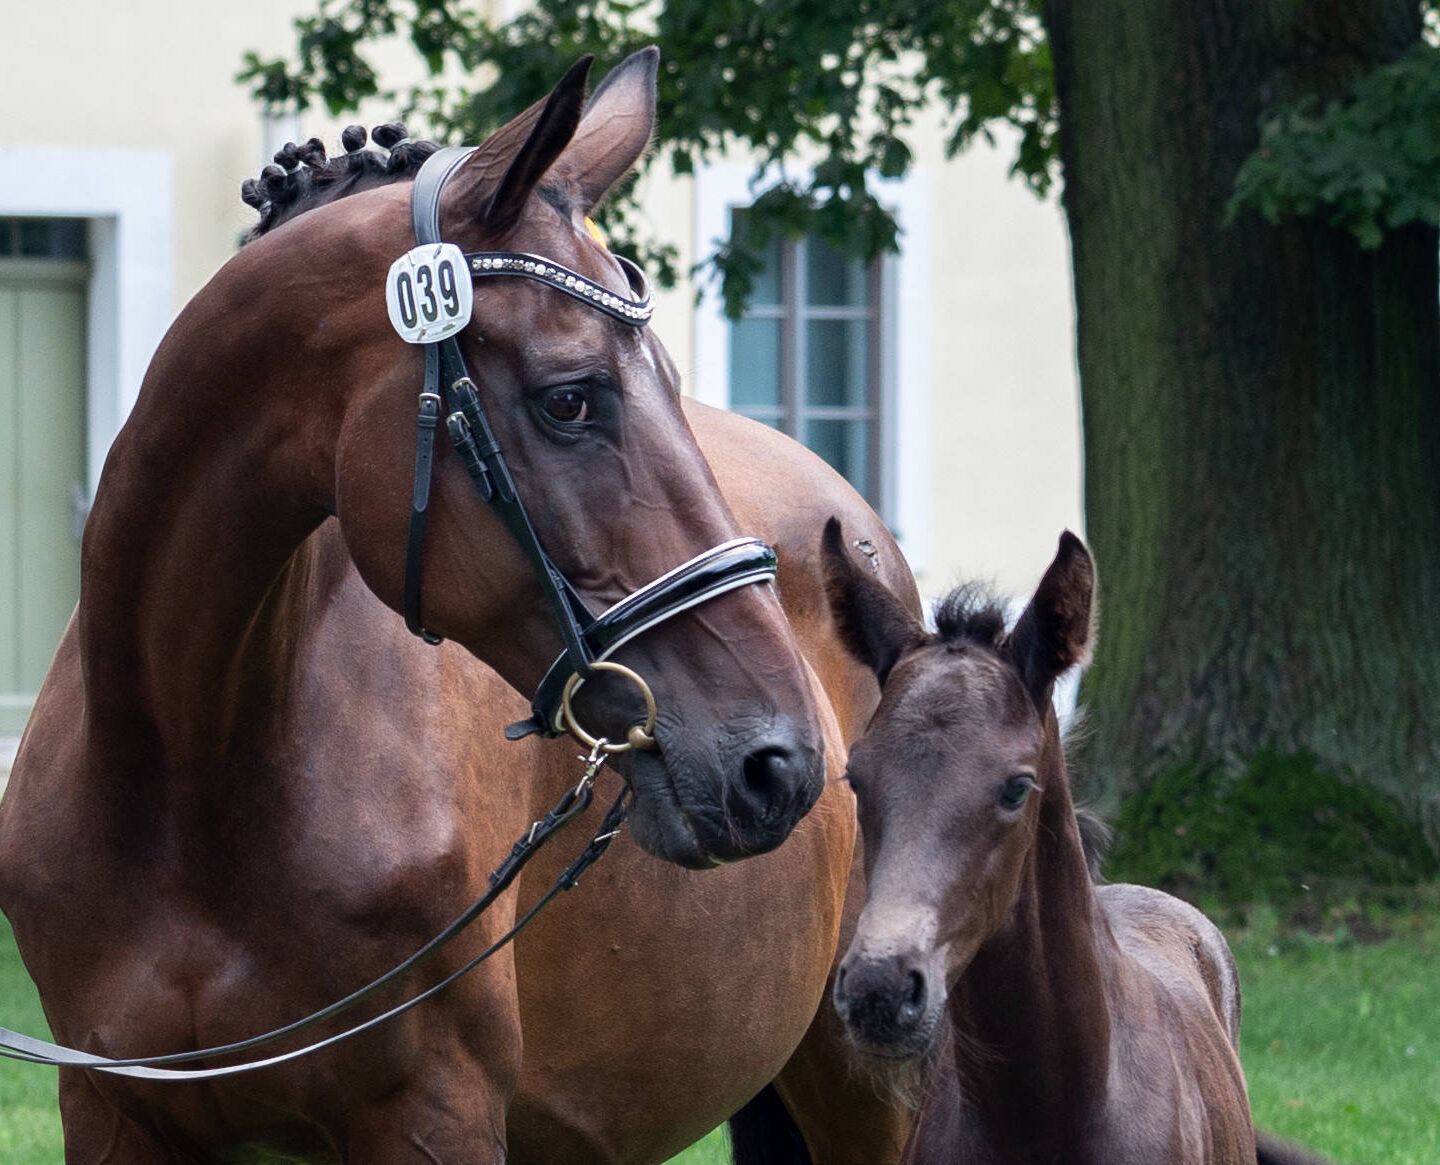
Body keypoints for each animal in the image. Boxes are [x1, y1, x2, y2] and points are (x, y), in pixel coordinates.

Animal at [0, 50, 910, 1157]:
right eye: (571, 395)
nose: (781, 761)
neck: (187, 778)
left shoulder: (433, 1109)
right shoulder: (108, 1109)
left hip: (865, 1085)